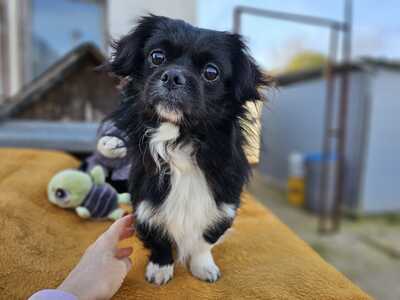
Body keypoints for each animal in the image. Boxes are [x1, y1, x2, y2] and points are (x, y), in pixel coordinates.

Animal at [104, 15, 270, 284]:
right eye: (157, 56)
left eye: (211, 72)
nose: (173, 76)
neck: (179, 141)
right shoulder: (146, 203)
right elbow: (158, 238)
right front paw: (160, 268)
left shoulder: (223, 205)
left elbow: (205, 239)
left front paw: (203, 267)